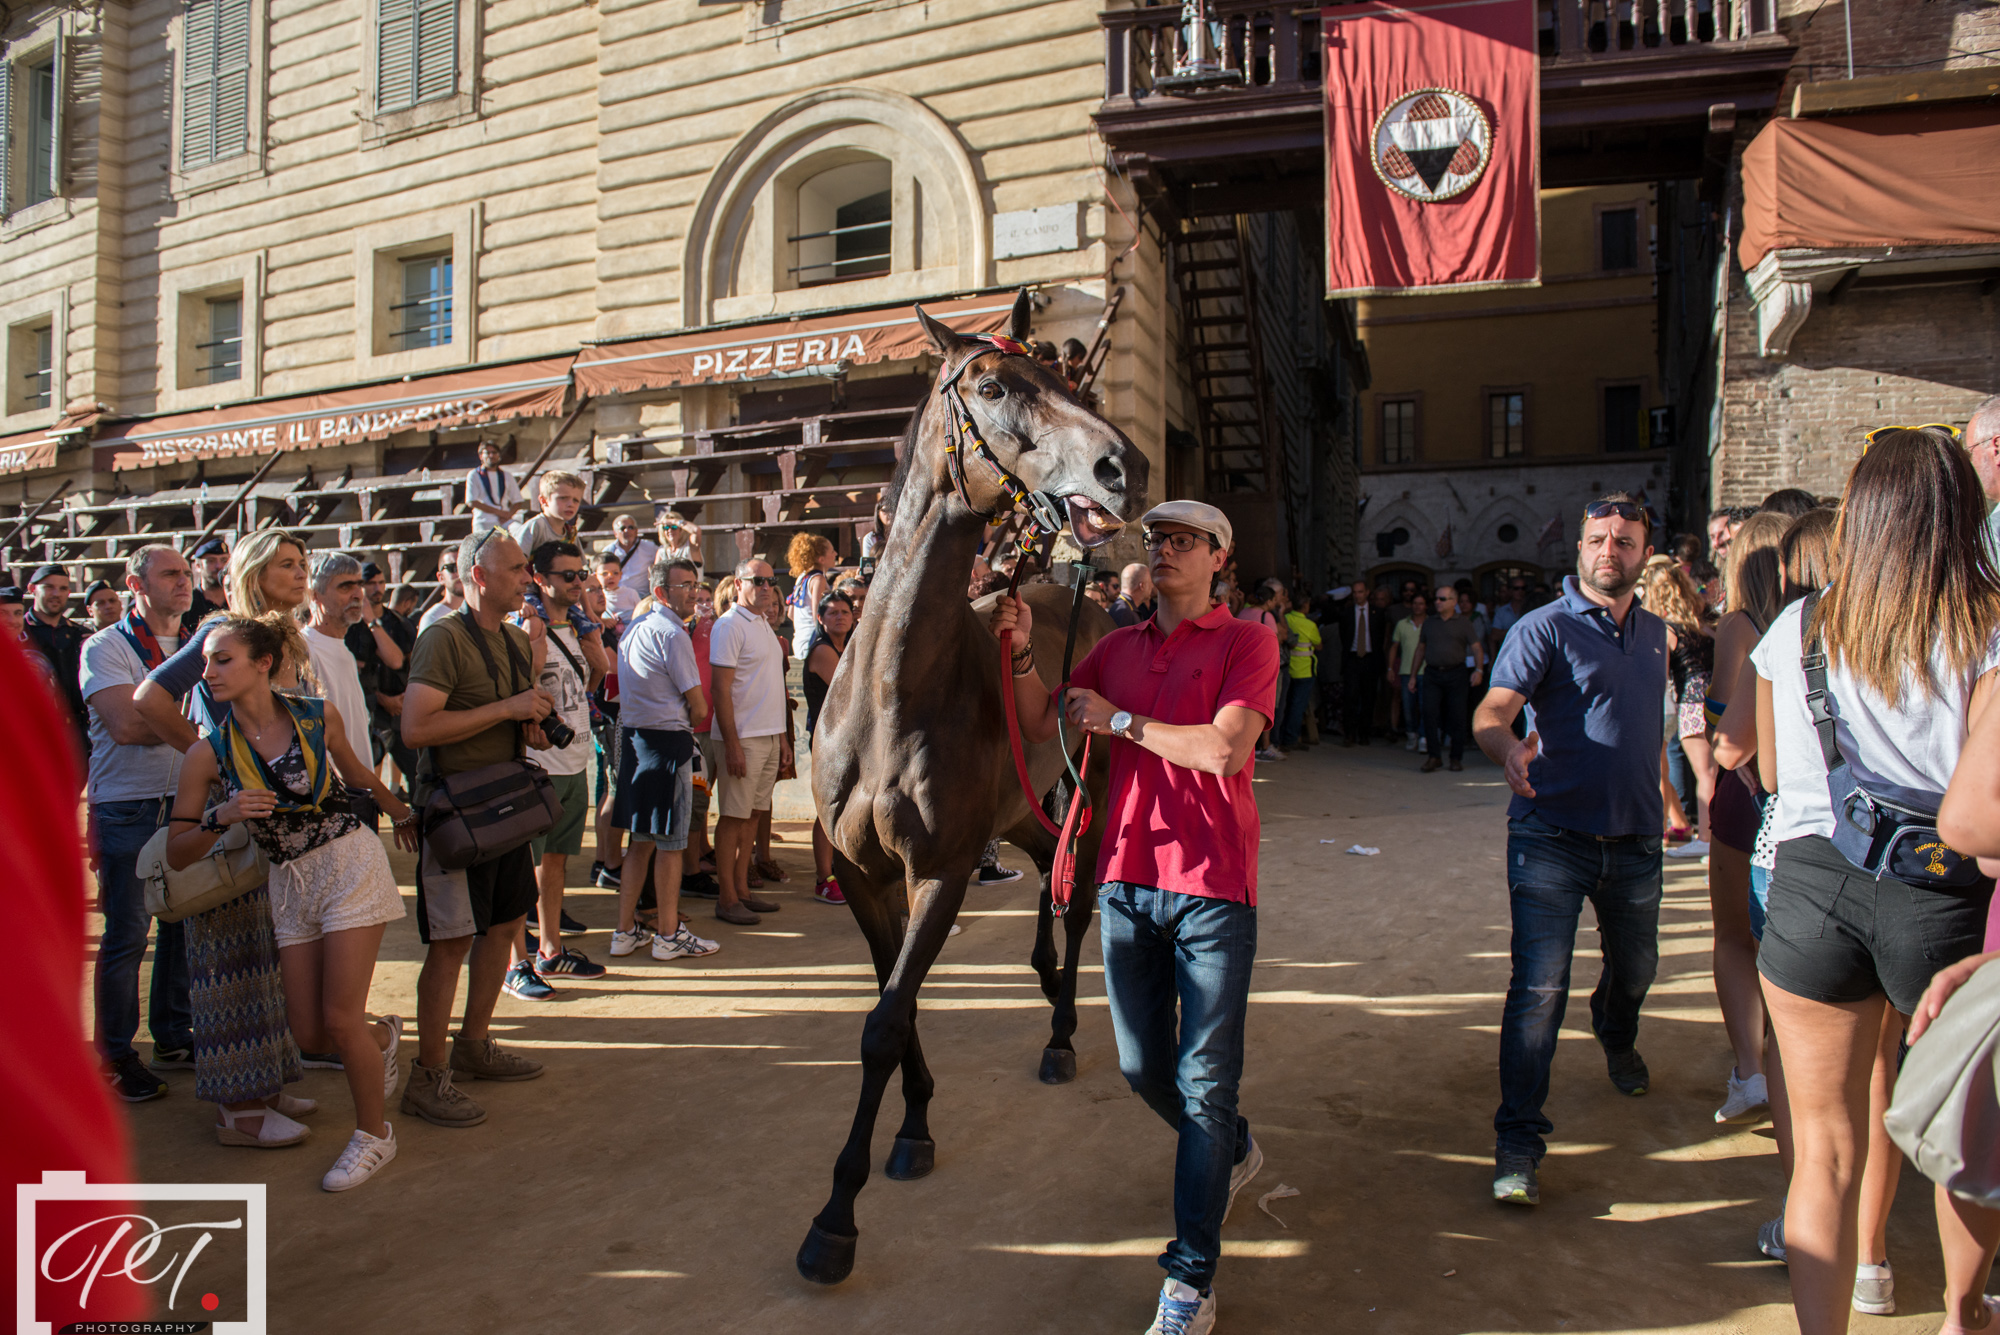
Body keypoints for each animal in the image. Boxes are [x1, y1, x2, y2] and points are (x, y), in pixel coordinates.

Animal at [792, 289, 1152, 1279]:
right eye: (991, 386)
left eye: (1074, 385)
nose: (1125, 465)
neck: (888, 695)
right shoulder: (869, 877)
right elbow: (896, 1005)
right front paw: (912, 1128)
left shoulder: (943, 871)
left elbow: (884, 1021)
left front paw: (835, 1215)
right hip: (1022, 811)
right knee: (1043, 878)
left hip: (1089, 800)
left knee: (1075, 899)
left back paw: (1062, 1028)